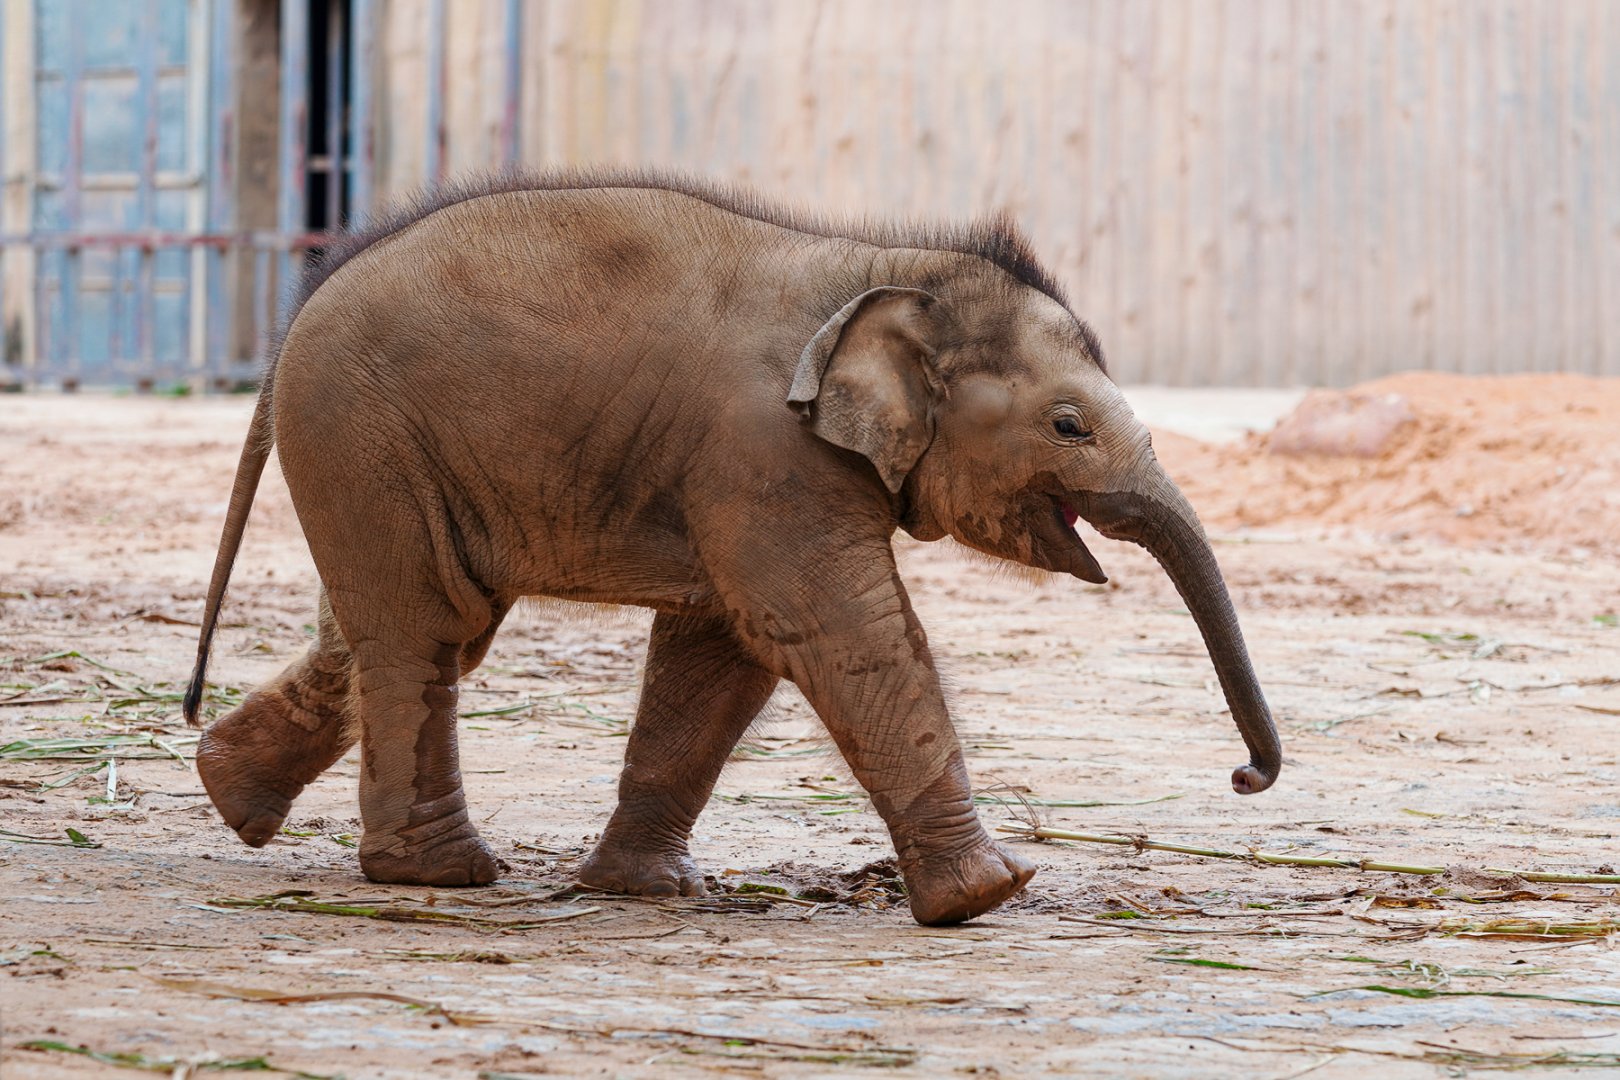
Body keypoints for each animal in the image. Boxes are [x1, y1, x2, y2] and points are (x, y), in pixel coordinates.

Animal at [184, 170, 1282, 926]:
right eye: (1067, 427)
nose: (1245, 778)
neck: (880, 269)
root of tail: (298, 311)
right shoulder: (764, 454)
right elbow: (828, 629)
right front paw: (989, 894)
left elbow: (723, 651)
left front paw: (646, 889)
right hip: (362, 433)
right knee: (426, 625)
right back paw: (442, 874)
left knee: (420, 623)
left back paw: (235, 797)